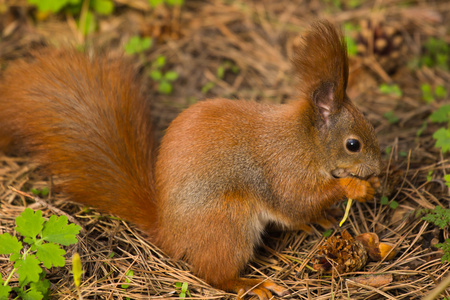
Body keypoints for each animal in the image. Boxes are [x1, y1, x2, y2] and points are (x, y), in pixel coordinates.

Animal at [0, 20, 380, 298]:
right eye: (353, 144)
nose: (377, 167)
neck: (306, 142)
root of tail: (167, 231)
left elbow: (302, 211)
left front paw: (332, 212)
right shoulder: (285, 168)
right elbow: (298, 200)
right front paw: (355, 188)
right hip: (227, 223)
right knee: (214, 274)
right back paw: (251, 284)